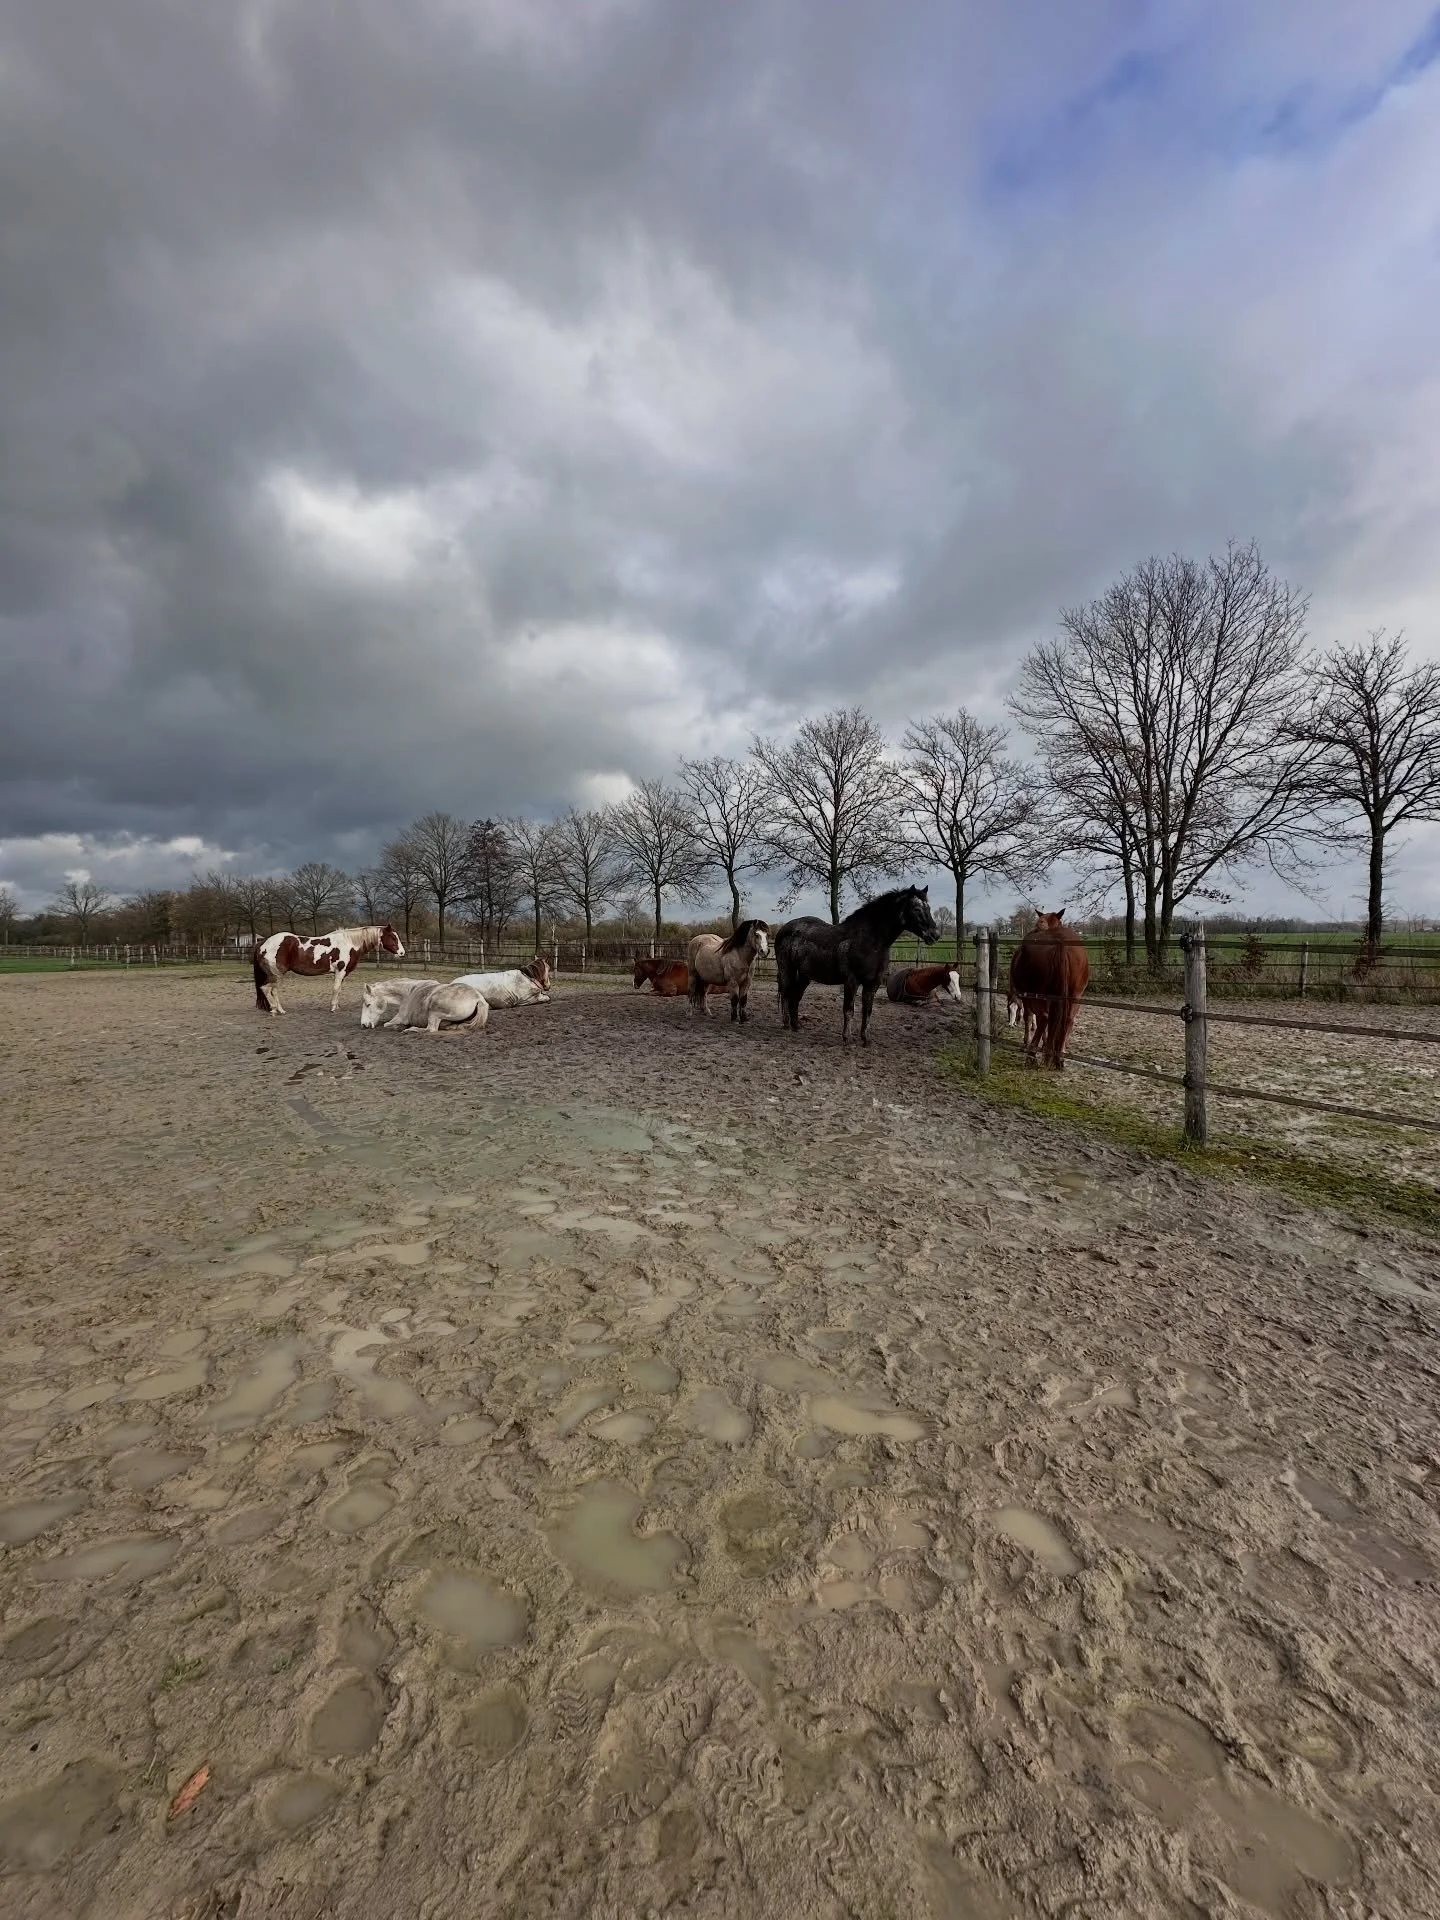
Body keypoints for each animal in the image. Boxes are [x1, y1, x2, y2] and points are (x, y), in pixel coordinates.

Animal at [254, 924, 404, 1015]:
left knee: (269, 990)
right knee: (269, 990)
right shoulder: (340, 971)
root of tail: (264, 943)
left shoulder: (342, 974)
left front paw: (337, 1006)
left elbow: (339, 989)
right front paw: (333, 1008)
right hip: (277, 974)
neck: (349, 944)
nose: (402, 953)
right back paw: (277, 1010)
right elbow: (336, 989)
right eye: (392, 937)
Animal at [360, 978, 489, 1034]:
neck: (407, 992)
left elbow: (386, 1024)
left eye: (368, 1004)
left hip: (434, 1013)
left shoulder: (400, 1018)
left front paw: (399, 1027)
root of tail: (478, 998)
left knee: (430, 1029)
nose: (363, 1025)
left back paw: (410, 1029)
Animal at [776, 886, 939, 1045]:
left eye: (928, 908)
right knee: (786, 994)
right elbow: (849, 1009)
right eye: (916, 908)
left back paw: (796, 1026)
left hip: (805, 976)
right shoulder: (852, 981)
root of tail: (784, 929)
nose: (935, 934)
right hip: (787, 970)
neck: (870, 941)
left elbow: (867, 1010)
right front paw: (847, 1038)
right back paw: (786, 1024)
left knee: (796, 996)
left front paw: (866, 1039)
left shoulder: (873, 984)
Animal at [1007, 911, 1090, 1069]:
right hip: (1075, 995)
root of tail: (1060, 941)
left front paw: (1028, 1042)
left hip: (1038, 994)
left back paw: (1032, 1054)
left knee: (1044, 1017)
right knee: (1068, 1019)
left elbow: (1028, 1016)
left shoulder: (1026, 996)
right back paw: (1059, 1058)